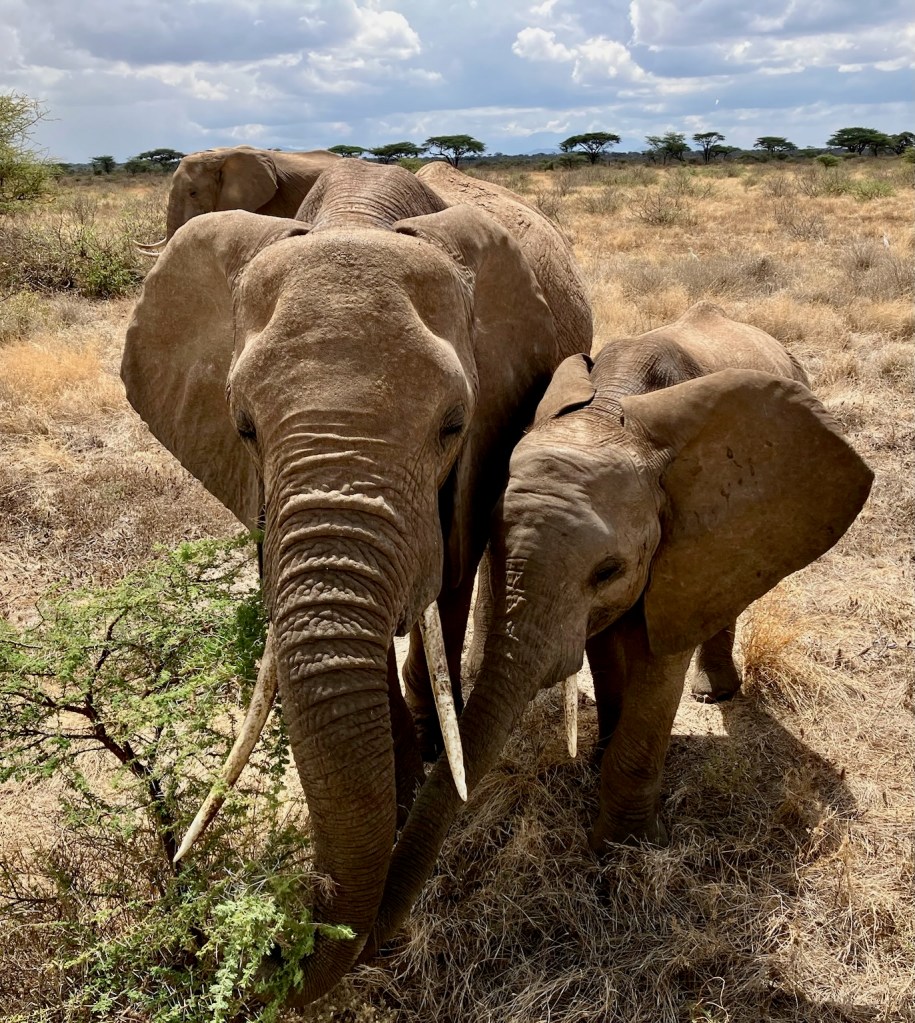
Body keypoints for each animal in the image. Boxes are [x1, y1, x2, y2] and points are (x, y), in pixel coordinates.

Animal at [120, 157, 592, 1003]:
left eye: (452, 425)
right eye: (243, 425)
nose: (266, 945)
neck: (354, 216)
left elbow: (447, 582)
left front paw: (432, 758)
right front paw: (401, 778)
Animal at [364, 301, 872, 953]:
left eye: (608, 569)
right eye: (494, 546)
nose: (367, 941)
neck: (613, 408)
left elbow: (658, 662)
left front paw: (622, 846)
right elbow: (604, 648)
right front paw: (598, 758)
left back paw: (714, 695)